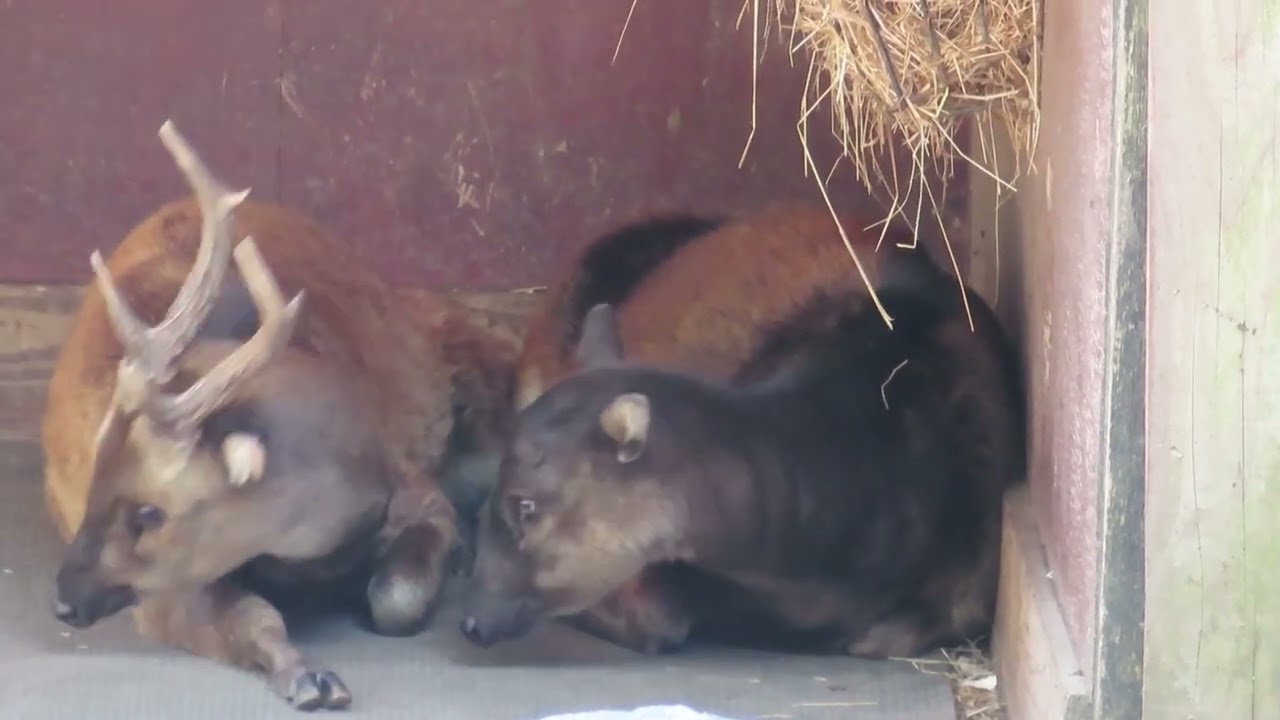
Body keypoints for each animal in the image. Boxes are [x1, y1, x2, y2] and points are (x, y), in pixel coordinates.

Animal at [44, 120, 516, 711]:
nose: (63, 601)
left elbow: (396, 598)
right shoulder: (161, 586)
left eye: (150, 512)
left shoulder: (419, 491)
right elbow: (252, 615)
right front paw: (310, 676)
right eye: (94, 476)